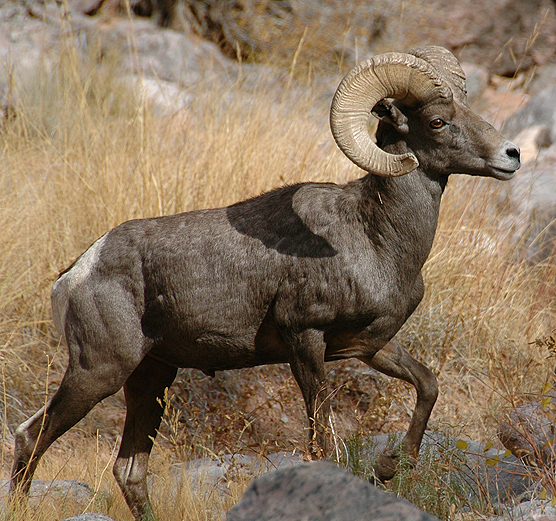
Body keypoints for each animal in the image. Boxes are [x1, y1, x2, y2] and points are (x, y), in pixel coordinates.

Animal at [10, 46, 520, 516]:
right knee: (31, 435)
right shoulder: (305, 341)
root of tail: (77, 273)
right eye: (437, 121)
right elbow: (324, 441)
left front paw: (391, 467)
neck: (376, 237)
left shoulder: (371, 346)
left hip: (150, 378)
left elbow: (427, 385)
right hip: (99, 371)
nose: (511, 155)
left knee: (130, 470)